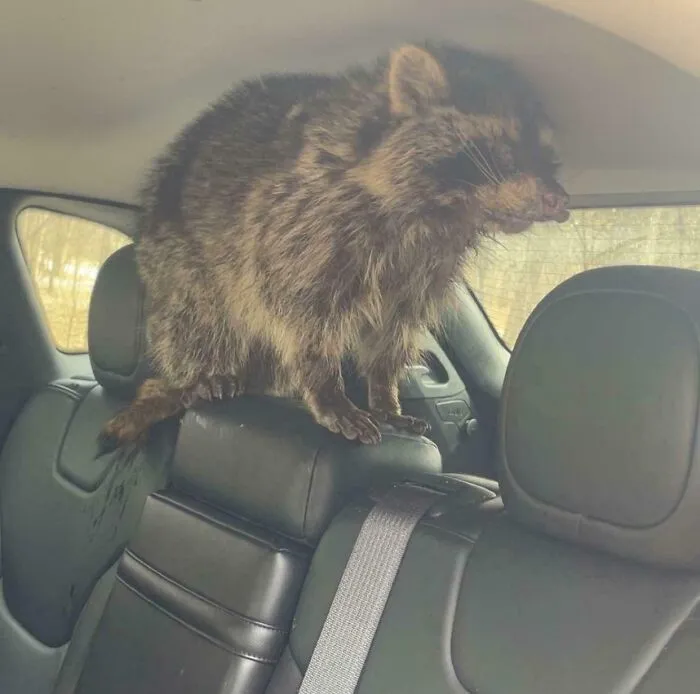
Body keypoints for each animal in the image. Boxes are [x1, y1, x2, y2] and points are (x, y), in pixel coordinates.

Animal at [101, 41, 569, 448]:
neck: (442, 212)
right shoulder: (302, 219)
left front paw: (384, 392)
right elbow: (300, 309)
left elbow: (395, 327)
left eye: (549, 158)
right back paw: (200, 375)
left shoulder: (426, 265)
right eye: (505, 151)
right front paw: (325, 385)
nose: (560, 201)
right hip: (178, 260)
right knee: (200, 318)